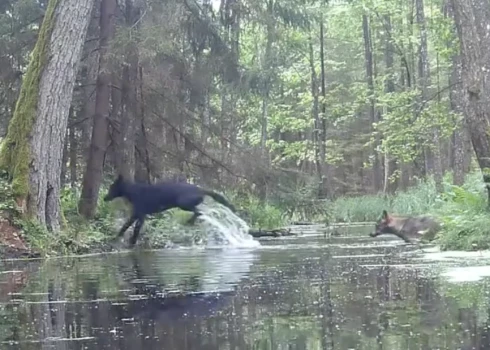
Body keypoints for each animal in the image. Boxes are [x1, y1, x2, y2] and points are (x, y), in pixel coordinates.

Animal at [105, 175, 237, 246]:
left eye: (112, 187)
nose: (104, 198)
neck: (132, 192)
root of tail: (201, 189)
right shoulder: (136, 214)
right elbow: (125, 226)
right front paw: (117, 238)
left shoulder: (140, 215)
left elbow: (132, 229)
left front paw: (129, 243)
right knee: (201, 212)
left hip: (183, 203)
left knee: (199, 212)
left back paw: (189, 222)